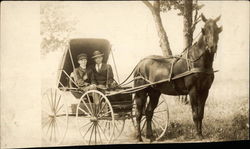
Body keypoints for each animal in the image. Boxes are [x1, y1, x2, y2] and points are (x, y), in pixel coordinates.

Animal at [134, 13, 222, 141]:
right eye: (204, 30)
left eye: (217, 30)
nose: (212, 47)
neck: (197, 61)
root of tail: (140, 64)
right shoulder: (192, 90)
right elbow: (195, 114)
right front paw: (197, 134)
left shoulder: (205, 91)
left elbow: (201, 114)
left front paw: (201, 133)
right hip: (141, 92)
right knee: (139, 114)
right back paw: (138, 137)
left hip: (154, 92)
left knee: (149, 112)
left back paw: (150, 136)